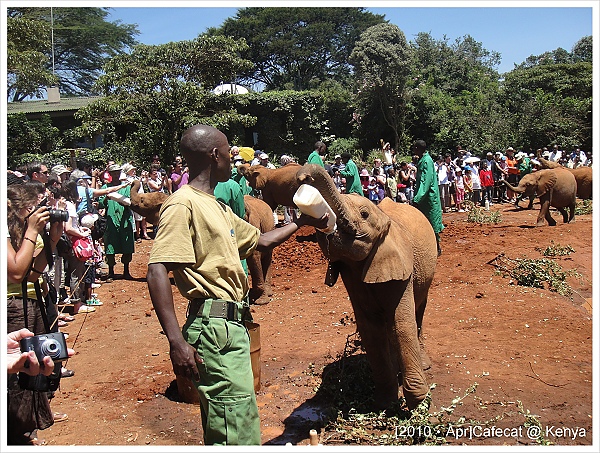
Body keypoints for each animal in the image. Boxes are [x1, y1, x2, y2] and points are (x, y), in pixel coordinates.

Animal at [296, 163, 436, 410]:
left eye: (364, 214)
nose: (302, 176)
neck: (386, 219)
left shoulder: (403, 268)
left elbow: (402, 324)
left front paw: (420, 406)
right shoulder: (351, 275)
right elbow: (371, 330)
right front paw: (385, 403)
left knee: (418, 311)